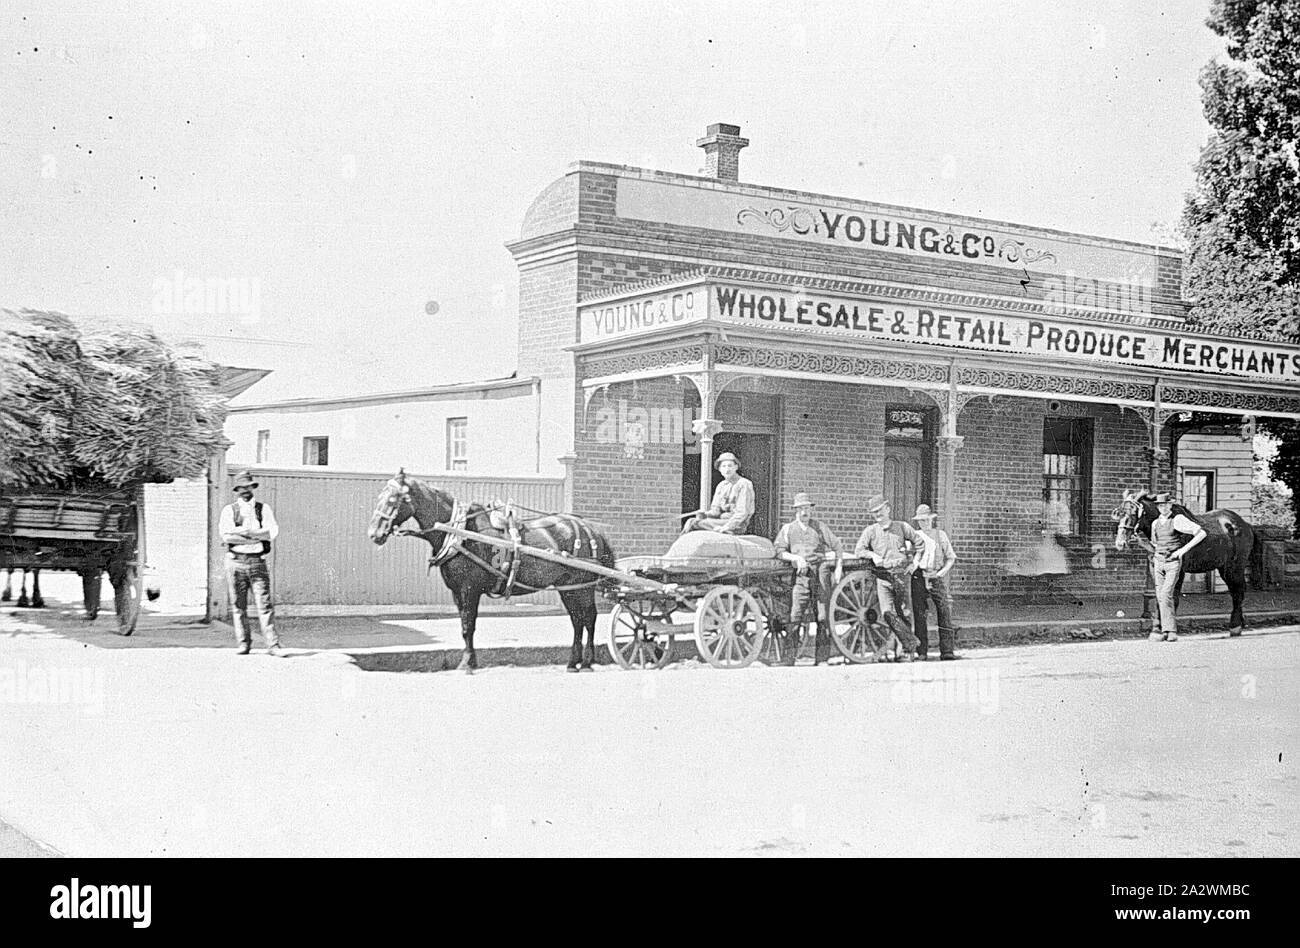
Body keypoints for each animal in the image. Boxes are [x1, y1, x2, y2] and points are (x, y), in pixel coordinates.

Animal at [361, 470, 613, 671]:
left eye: (393, 499)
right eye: (380, 497)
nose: (374, 533)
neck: (460, 532)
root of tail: (590, 528)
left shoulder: (469, 590)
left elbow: (468, 626)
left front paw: (467, 663)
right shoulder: (456, 592)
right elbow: (465, 627)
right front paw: (470, 661)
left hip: (581, 586)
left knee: (589, 618)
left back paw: (587, 661)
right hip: (567, 587)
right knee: (578, 620)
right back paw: (573, 662)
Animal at [1112, 488, 1253, 637]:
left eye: (1134, 513)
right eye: (1119, 512)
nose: (1120, 543)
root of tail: (1243, 524)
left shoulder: (1179, 571)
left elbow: (1172, 598)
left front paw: (1167, 629)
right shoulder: (1155, 569)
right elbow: (1159, 596)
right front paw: (1157, 629)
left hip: (1235, 567)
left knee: (1238, 592)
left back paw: (1235, 626)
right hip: (1225, 568)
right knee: (1235, 591)